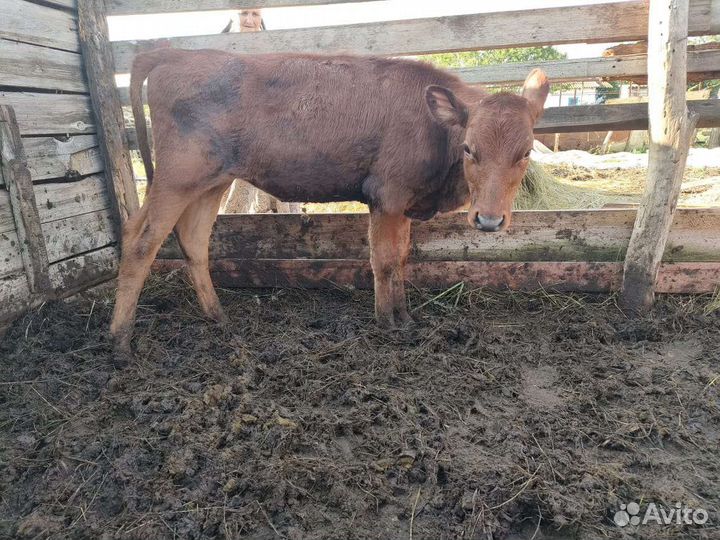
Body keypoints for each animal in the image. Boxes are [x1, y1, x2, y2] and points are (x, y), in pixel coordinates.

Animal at [110, 48, 549, 354]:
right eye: (469, 148)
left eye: (526, 152)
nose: (489, 221)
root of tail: (176, 53)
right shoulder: (387, 195)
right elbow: (383, 259)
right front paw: (387, 322)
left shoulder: (404, 202)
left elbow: (402, 258)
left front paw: (405, 316)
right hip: (177, 176)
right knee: (142, 241)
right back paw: (120, 340)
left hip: (211, 181)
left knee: (190, 240)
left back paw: (218, 316)